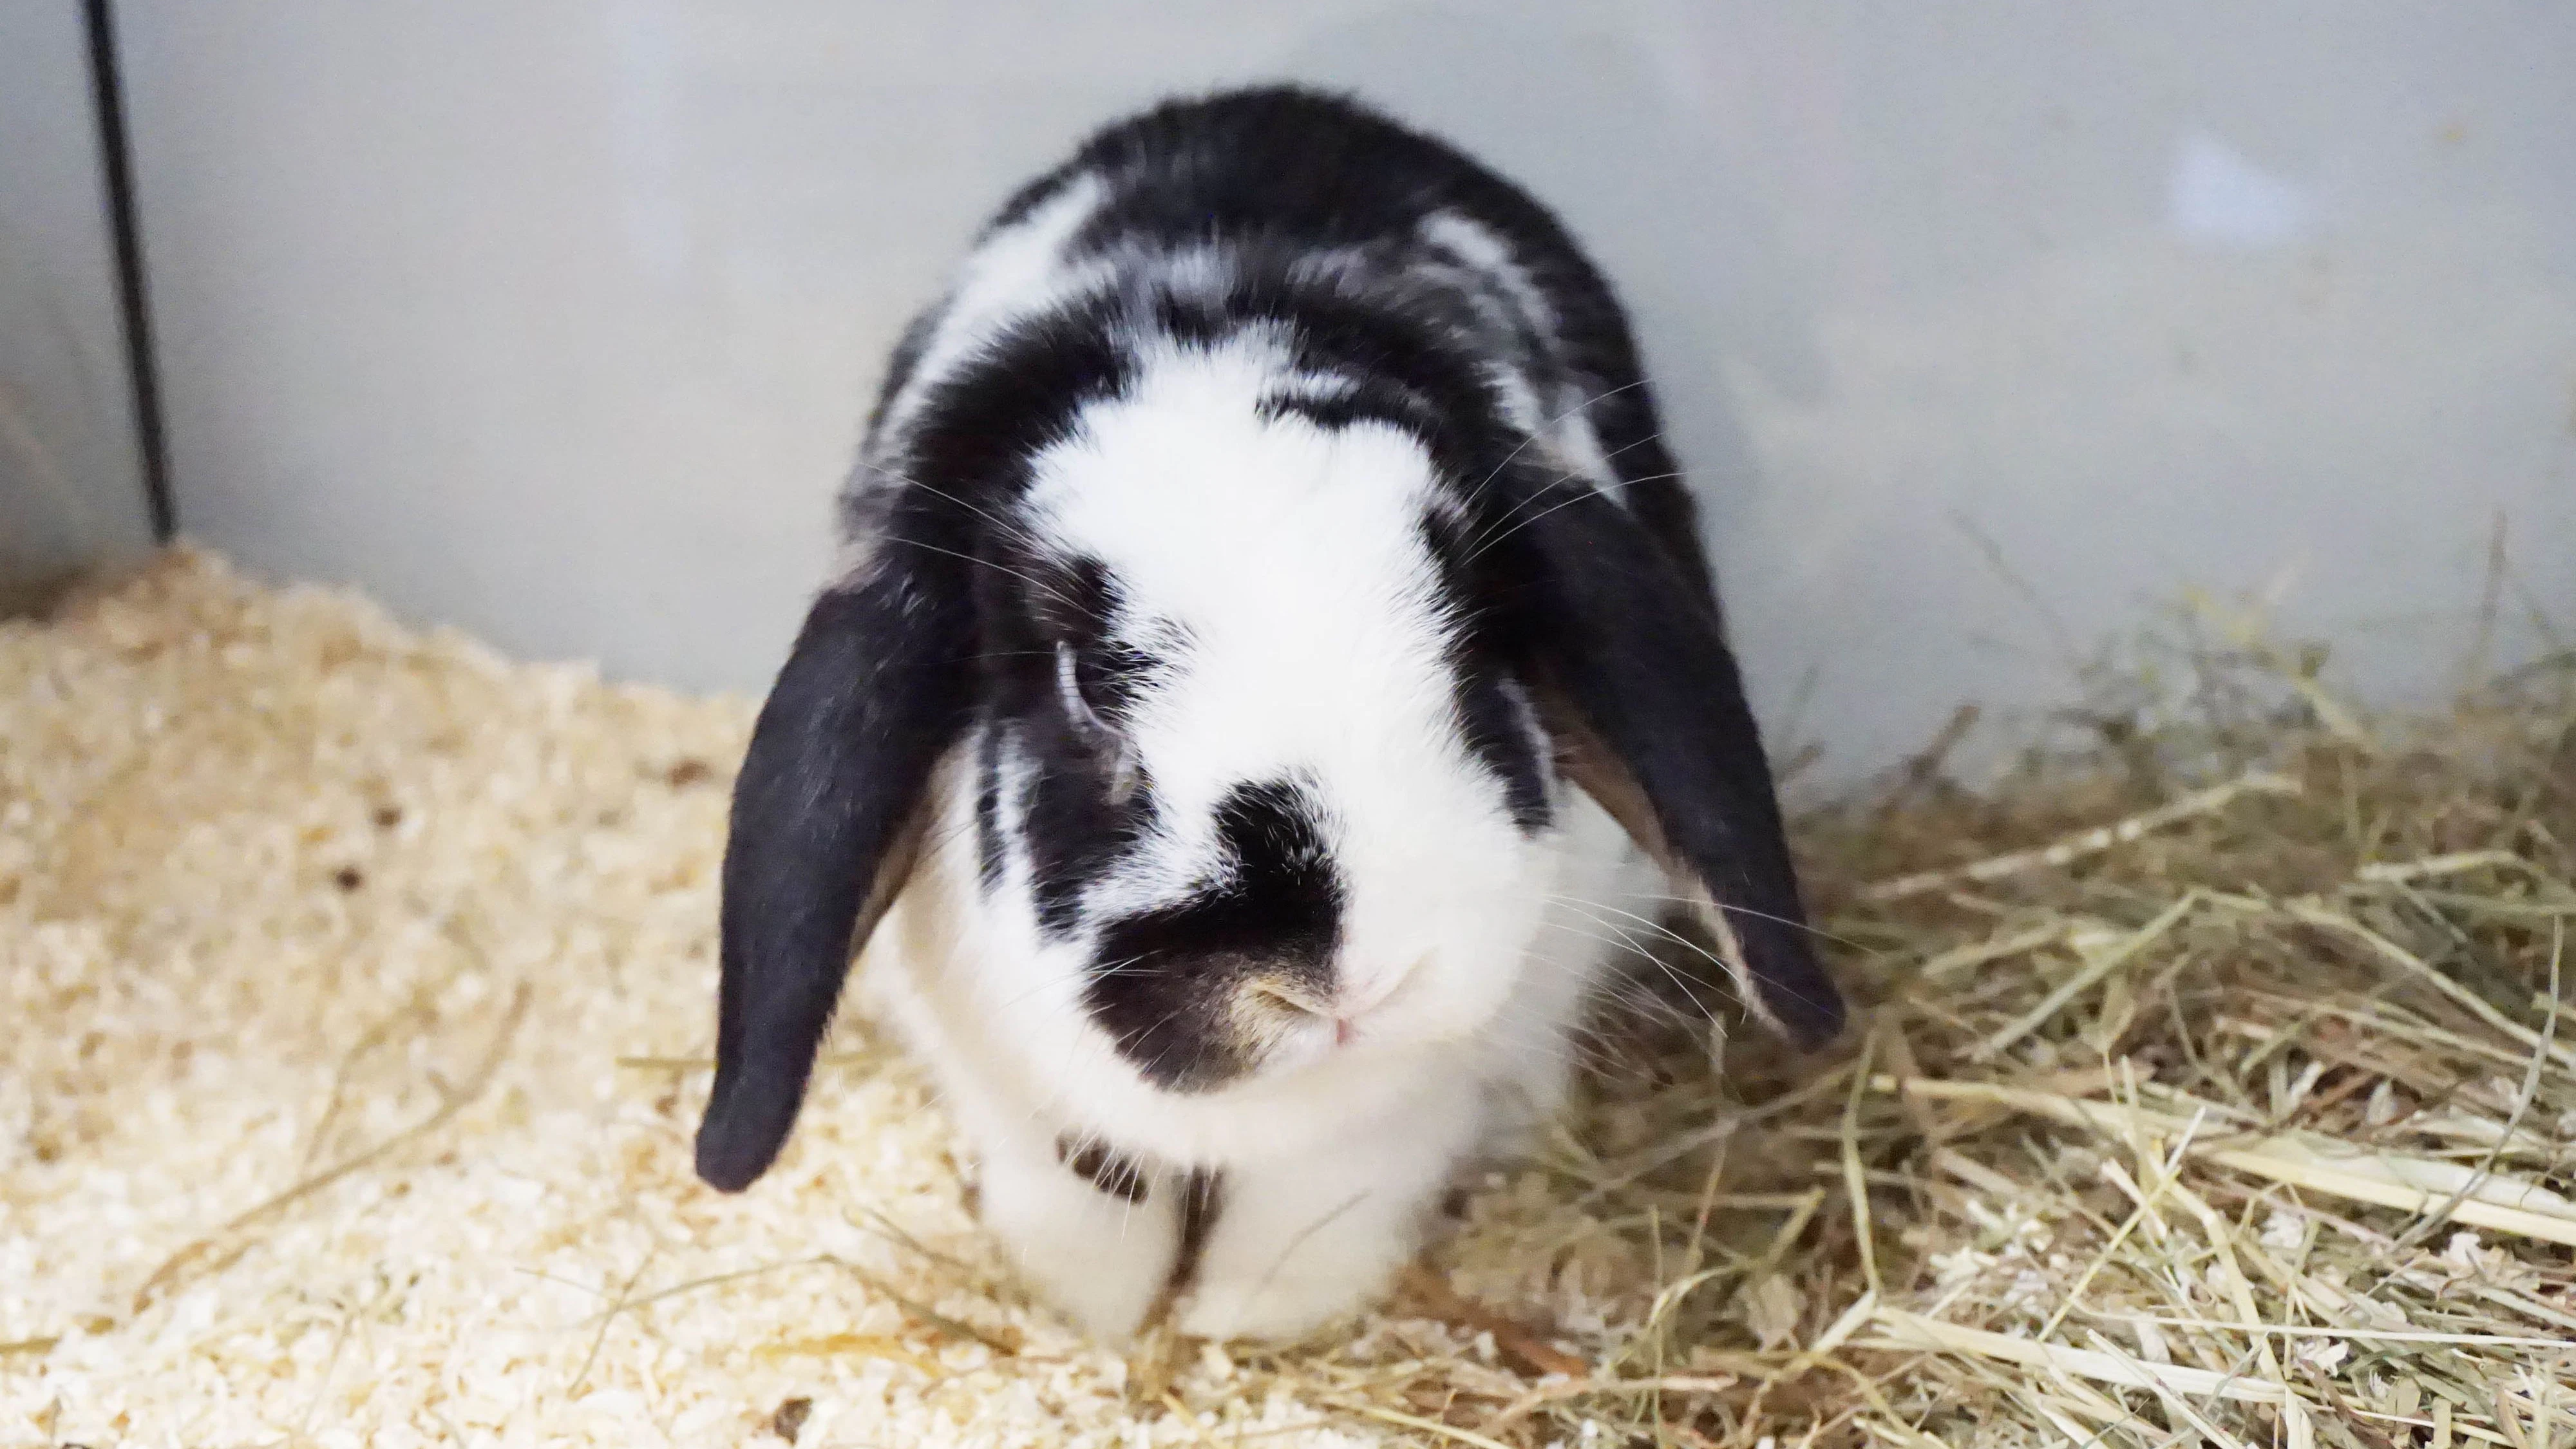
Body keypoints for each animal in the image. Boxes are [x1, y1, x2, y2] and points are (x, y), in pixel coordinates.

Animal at [693, 85, 1845, 1344]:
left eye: (1469, 649)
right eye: (1087, 686)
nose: (1345, 983)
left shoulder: (1400, 1112)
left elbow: (1324, 1204)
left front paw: (1240, 1320)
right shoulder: (1012, 1090)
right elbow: (1080, 1197)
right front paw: (1092, 1316)